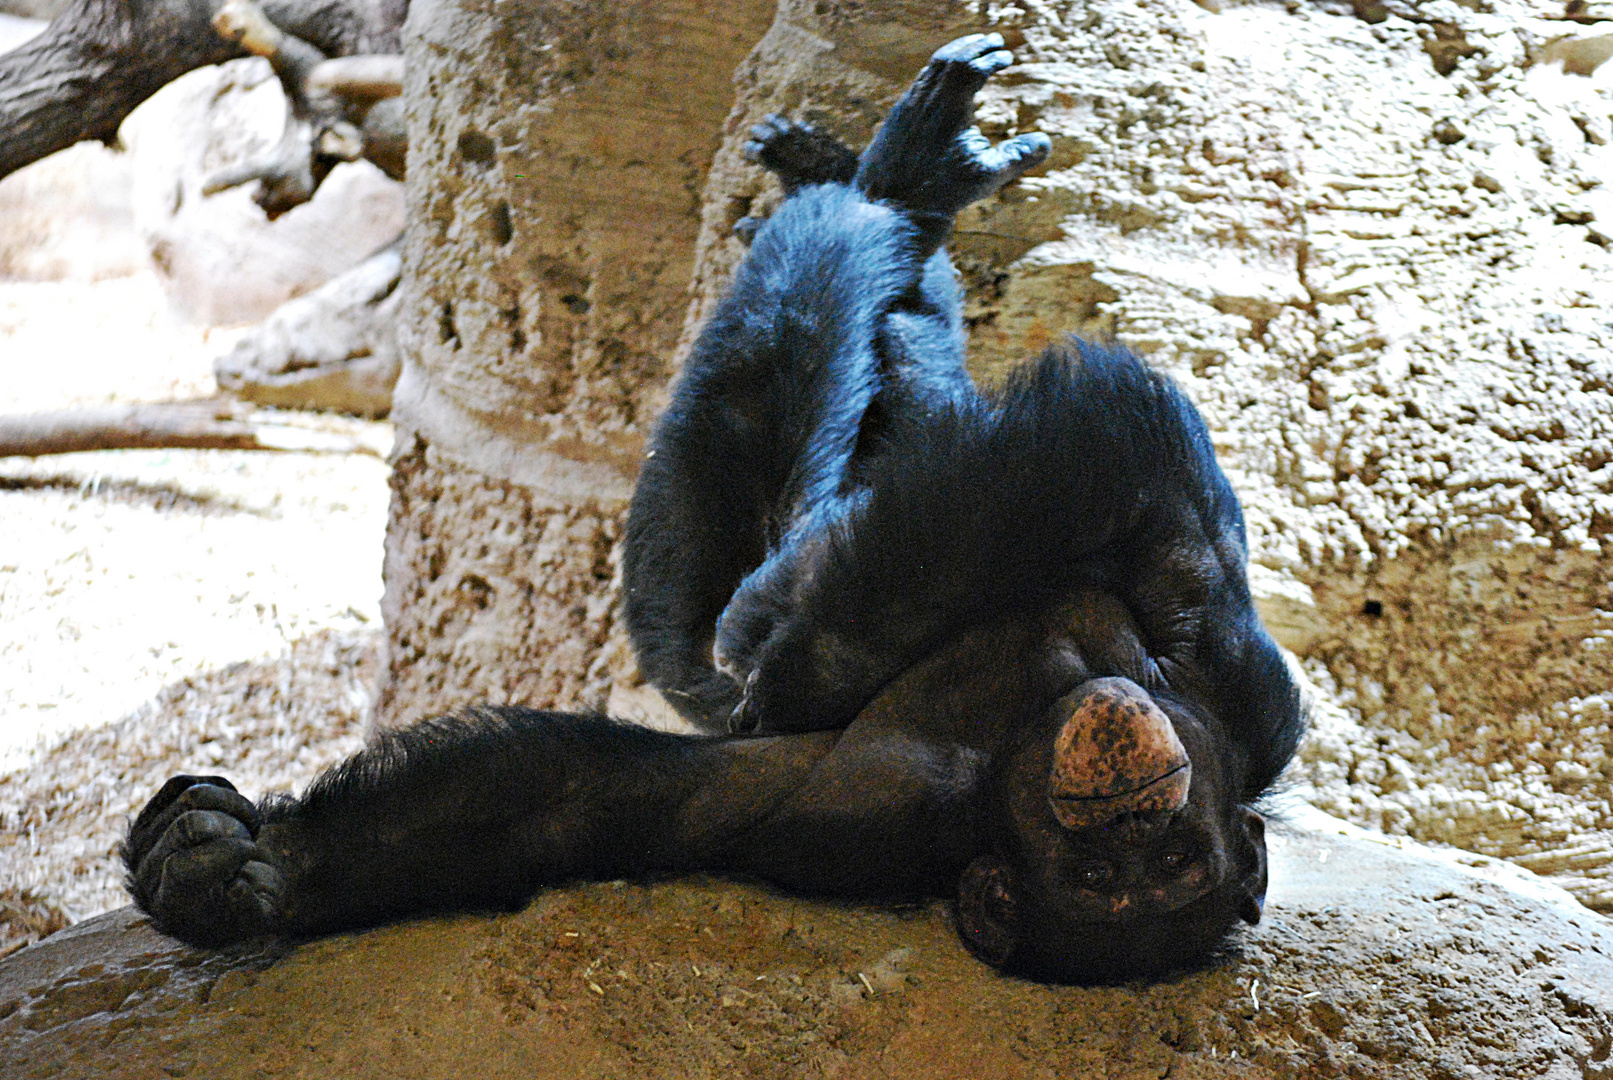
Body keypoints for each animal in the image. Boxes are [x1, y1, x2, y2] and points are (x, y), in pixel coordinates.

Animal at [119, 38, 1303, 986]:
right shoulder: (1240, 705)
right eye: (1108, 864)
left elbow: (589, 800)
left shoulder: (843, 807)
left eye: (1156, 868)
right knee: (901, 351)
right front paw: (226, 872)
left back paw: (882, 190)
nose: (1133, 806)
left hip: (717, 537)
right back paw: (876, 175)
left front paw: (251, 875)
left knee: (817, 353)